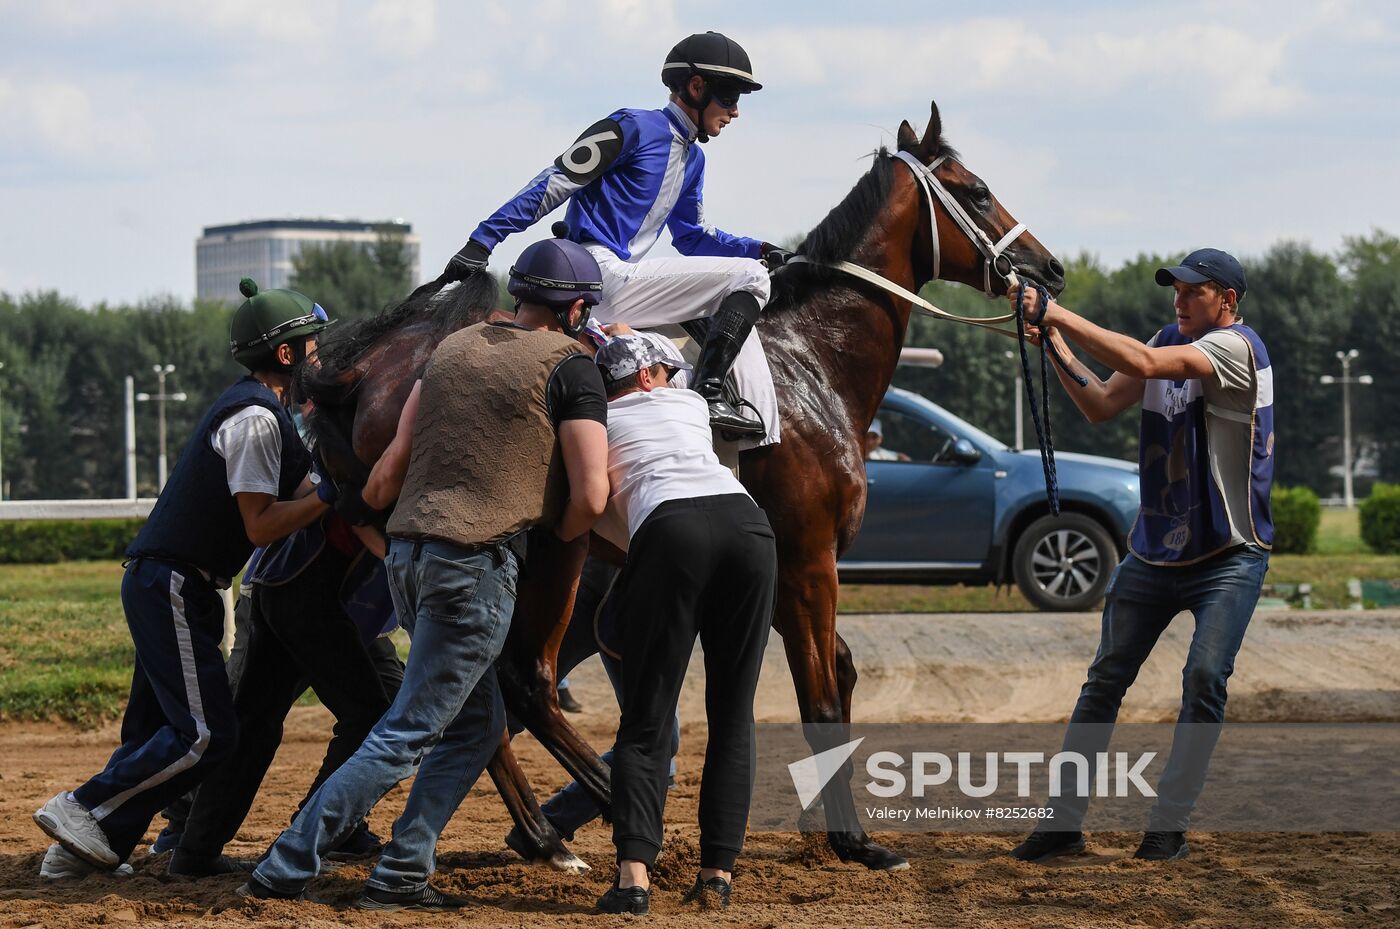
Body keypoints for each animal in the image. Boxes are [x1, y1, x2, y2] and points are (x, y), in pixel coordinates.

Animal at [303, 98, 1064, 874]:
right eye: (977, 190)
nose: (1050, 269)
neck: (814, 362)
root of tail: (368, 368)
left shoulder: (784, 561)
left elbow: (841, 673)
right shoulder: (808, 557)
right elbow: (820, 695)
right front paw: (854, 840)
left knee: (476, 697)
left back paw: (547, 833)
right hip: (549, 548)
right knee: (521, 680)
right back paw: (607, 813)